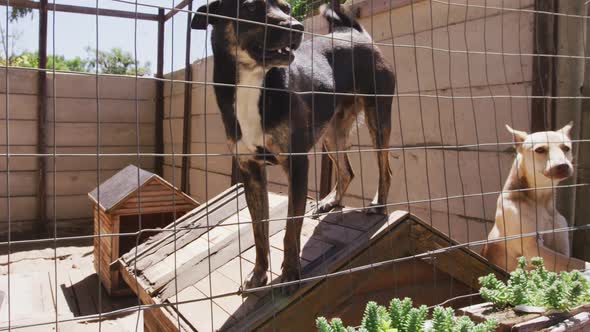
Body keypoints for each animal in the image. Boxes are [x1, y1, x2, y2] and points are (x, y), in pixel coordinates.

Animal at [192, 0, 396, 294]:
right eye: (250, 7)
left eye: (287, 8)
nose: (297, 27)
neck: (253, 82)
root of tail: (354, 33)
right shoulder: (250, 171)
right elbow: (259, 231)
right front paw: (258, 275)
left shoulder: (297, 163)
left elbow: (291, 229)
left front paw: (290, 274)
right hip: (331, 134)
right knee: (347, 171)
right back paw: (330, 202)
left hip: (377, 118)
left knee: (385, 169)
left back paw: (379, 204)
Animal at [486, 122, 588, 272]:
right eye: (540, 150)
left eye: (566, 148)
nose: (563, 165)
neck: (541, 200)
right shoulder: (532, 248)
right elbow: (575, 263)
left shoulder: (561, 247)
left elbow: (570, 262)